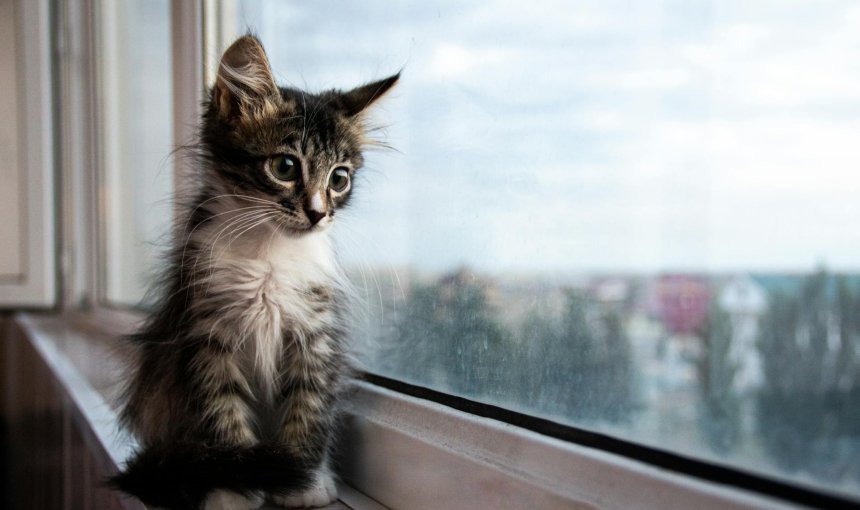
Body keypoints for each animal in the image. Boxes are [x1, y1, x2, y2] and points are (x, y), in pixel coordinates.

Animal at [109, 33, 398, 508]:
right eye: (285, 167)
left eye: (339, 179)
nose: (318, 214)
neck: (269, 252)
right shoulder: (205, 334)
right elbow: (223, 416)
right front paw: (234, 488)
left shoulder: (314, 336)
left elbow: (308, 408)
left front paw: (302, 482)